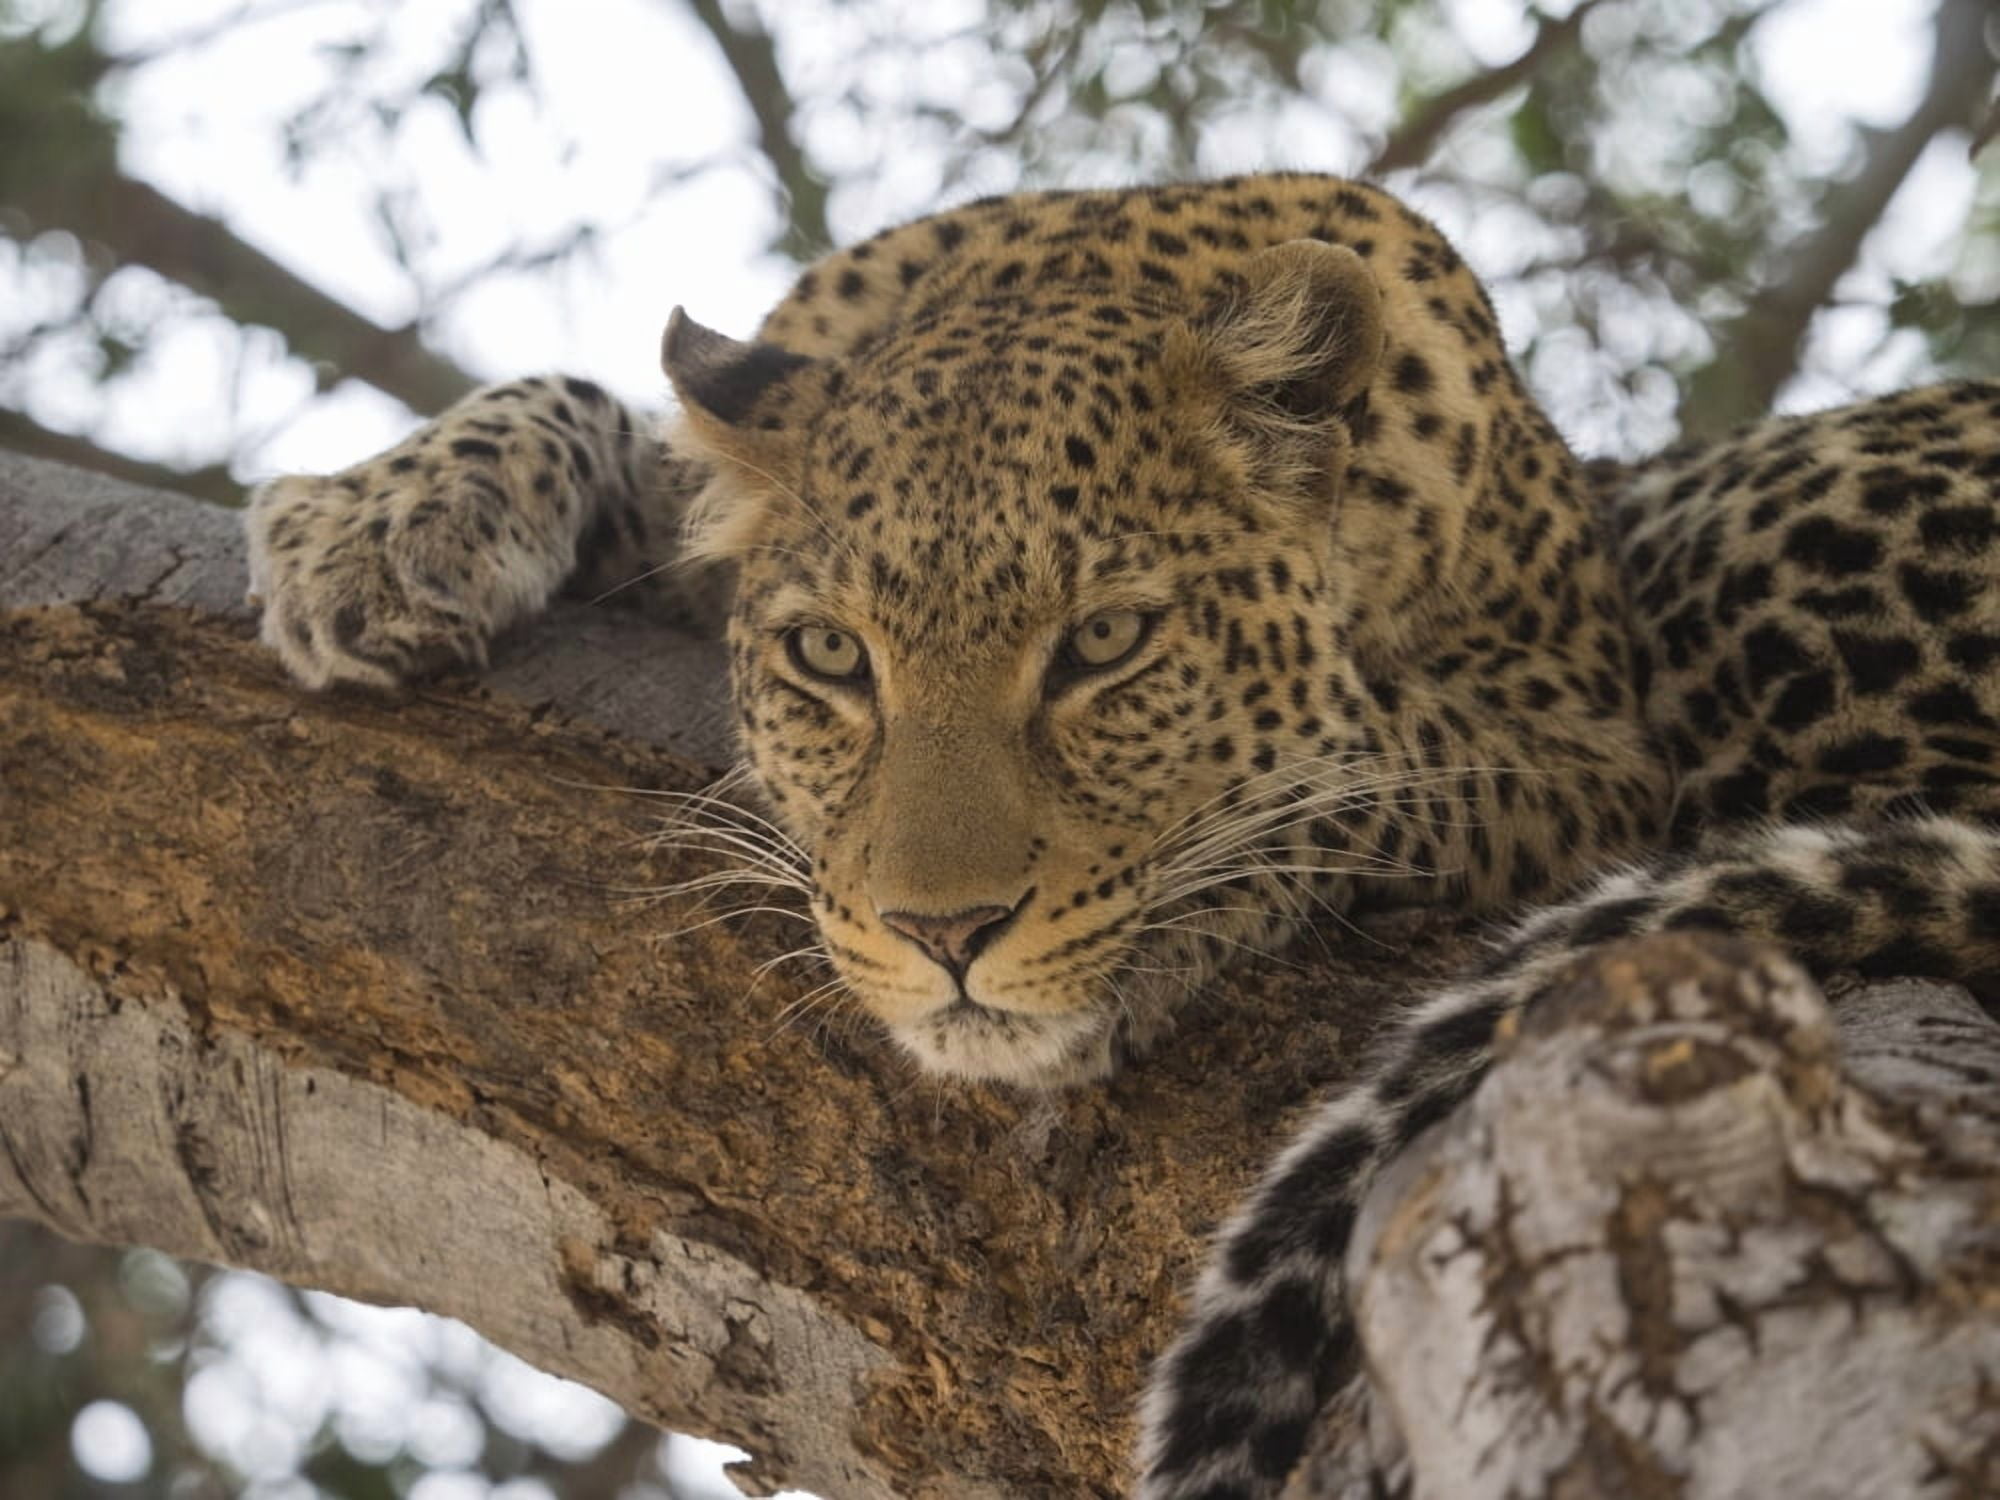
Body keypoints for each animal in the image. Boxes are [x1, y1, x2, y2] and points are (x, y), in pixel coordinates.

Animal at [242, 172, 2000, 1499]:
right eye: (830, 658)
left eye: (1104, 646)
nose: (945, 935)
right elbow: (619, 420)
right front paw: (382, 519)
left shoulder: (1582, 744)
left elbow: (1354, 763)